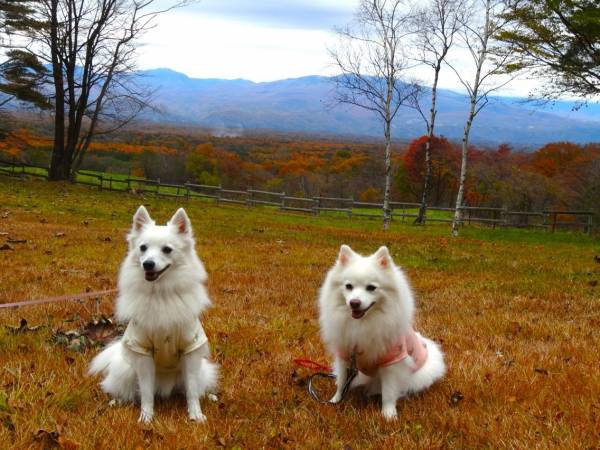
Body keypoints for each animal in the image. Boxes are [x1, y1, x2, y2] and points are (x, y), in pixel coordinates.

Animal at [88, 206, 219, 424]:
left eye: (167, 249)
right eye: (143, 248)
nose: (148, 264)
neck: (160, 293)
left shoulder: (190, 351)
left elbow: (192, 391)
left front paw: (195, 415)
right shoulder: (143, 353)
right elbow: (147, 393)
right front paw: (146, 418)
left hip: (199, 370)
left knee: (192, 388)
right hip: (127, 371)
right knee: (129, 391)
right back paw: (117, 401)